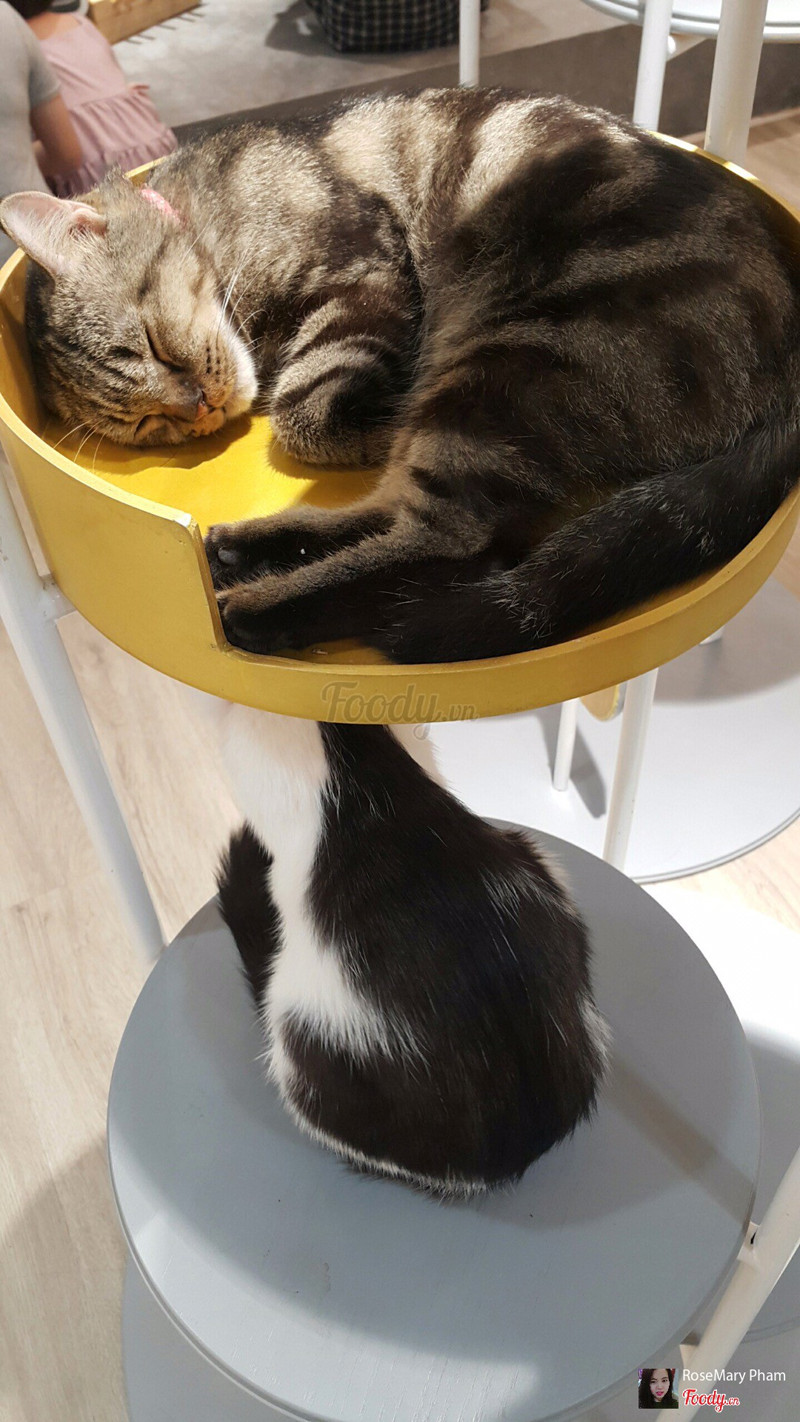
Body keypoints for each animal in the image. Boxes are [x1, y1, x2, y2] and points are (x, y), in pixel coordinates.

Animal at [2, 87, 799, 663]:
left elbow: (305, 415)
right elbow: (310, 414)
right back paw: (240, 554)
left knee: (456, 544)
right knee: (425, 526)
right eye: (151, 425)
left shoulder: (363, 269)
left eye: (150, 348)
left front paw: (361, 415)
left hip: (502, 368)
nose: (198, 408)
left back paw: (257, 603)